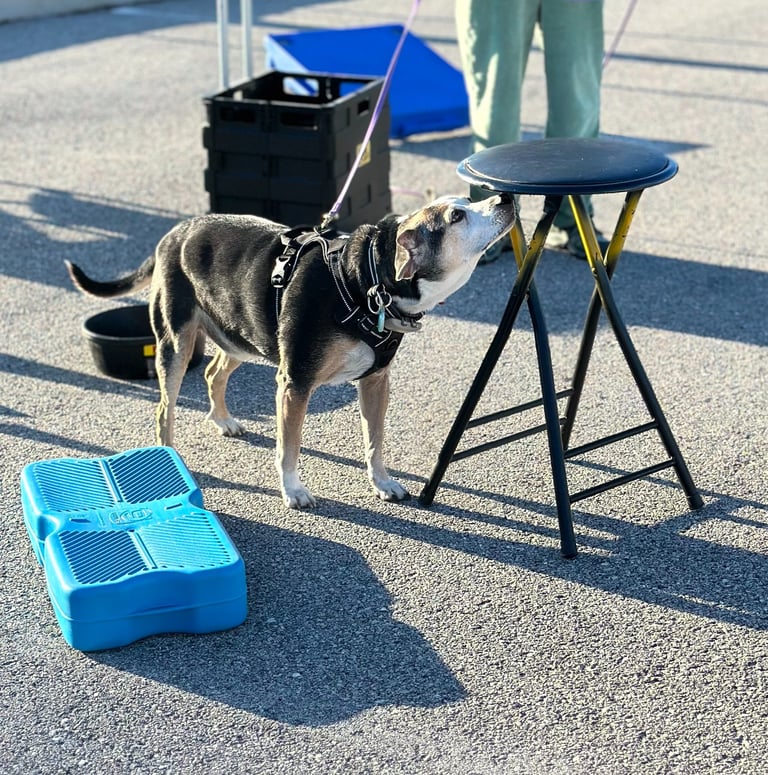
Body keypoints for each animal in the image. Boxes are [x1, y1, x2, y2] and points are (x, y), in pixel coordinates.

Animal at [66, 194, 516, 508]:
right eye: (456, 217)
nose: (506, 198)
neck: (363, 280)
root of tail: (177, 230)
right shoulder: (295, 381)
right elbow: (290, 446)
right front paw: (292, 490)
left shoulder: (375, 381)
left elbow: (375, 440)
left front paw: (382, 481)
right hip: (176, 342)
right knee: (165, 408)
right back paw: (169, 456)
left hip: (241, 335)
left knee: (212, 372)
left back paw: (223, 419)